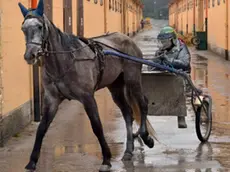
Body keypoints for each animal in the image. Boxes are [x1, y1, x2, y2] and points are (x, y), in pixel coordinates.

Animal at [18, 0, 155, 171]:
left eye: (39, 26)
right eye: (23, 28)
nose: (30, 55)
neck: (65, 61)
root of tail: (128, 40)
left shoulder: (87, 97)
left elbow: (97, 126)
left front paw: (106, 159)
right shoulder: (52, 99)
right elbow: (42, 128)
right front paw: (32, 161)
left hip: (133, 80)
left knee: (143, 103)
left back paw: (145, 136)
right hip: (115, 87)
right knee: (127, 113)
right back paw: (129, 151)